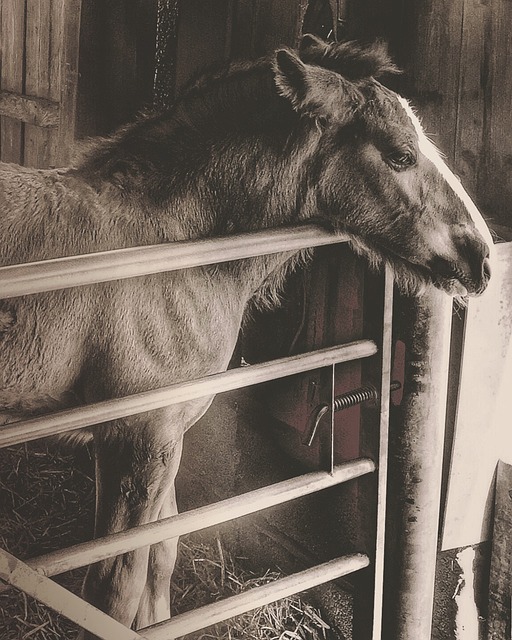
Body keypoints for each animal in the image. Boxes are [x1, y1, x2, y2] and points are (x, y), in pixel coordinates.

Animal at [0, 35, 492, 636]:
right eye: (400, 153)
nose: (482, 257)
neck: (173, 251)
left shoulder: (167, 436)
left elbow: (161, 557)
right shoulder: (137, 435)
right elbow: (114, 590)